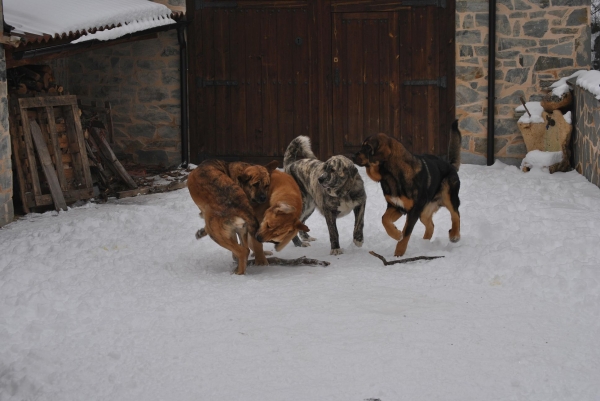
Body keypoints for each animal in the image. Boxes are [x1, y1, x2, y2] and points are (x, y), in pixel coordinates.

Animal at [354, 119, 462, 256]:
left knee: (455, 214)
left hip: (448, 195)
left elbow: (406, 233)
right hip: (424, 211)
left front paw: (398, 254)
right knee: (431, 225)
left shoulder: (413, 211)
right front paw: (396, 234)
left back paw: (454, 235)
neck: (391, 176)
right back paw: (424, 244)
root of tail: (450, 164)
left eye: (368, 147)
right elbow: (384, 219)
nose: (353, 156)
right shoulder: (396, 206)